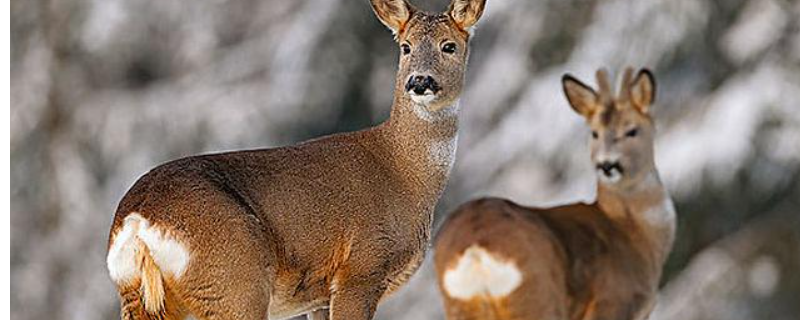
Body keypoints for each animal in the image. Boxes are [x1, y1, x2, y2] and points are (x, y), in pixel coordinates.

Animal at [106, 0, 488, 320]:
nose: (419, 81)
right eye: (406, 46)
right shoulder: (361, 268)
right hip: (234, 279)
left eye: (449, 45)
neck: (404, 173)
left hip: (141, 295)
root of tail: (138, 218)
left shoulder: (317, 295)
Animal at [434, 68, 680, 320]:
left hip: (461, 305)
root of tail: (475, 251)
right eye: (595, 133)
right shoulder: (613, 302)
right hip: (539, 293)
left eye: (632, 131)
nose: (607, 165)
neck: (635, 233)